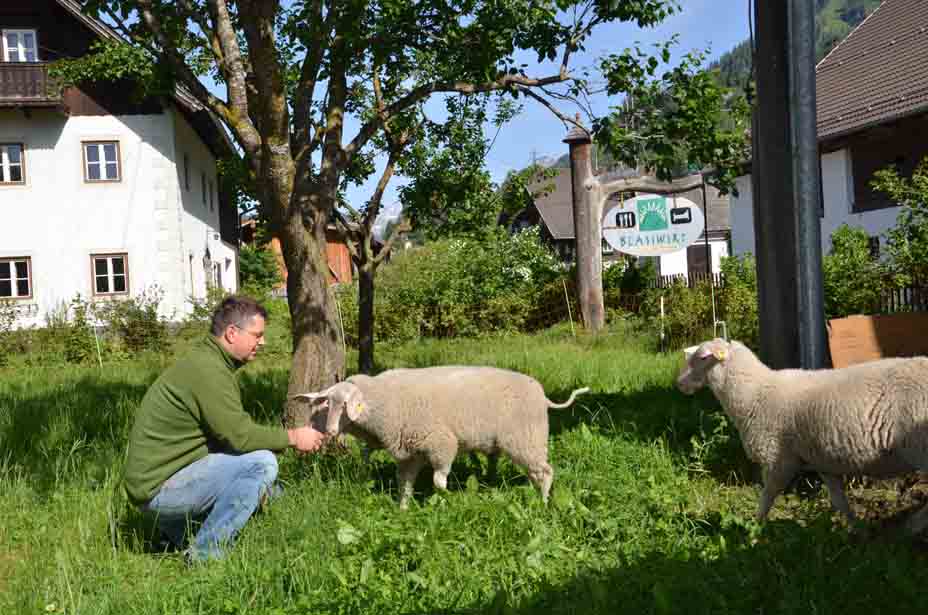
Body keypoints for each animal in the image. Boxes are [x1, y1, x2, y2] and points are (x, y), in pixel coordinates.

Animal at [296, 366, 588, 510]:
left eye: (345, 405)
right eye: (327, 403)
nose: (329, 432)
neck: (383, 399)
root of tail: (542, 395)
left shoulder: (441, 444)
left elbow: (439, 482)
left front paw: (451, 501)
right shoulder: (410, 453)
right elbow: (404, 484)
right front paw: (403, 510)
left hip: (525, 438)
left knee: (545, 472)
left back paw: (543, 503)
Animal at [676, 336, 928, 536]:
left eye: (702, 358)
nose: (679, 383)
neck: (755, 392)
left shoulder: (778, 461)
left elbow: (767, 497)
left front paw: (755, 530)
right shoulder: (824, 461)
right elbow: (840, 501)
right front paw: (857, 529)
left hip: (920, 447)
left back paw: (912, 527)